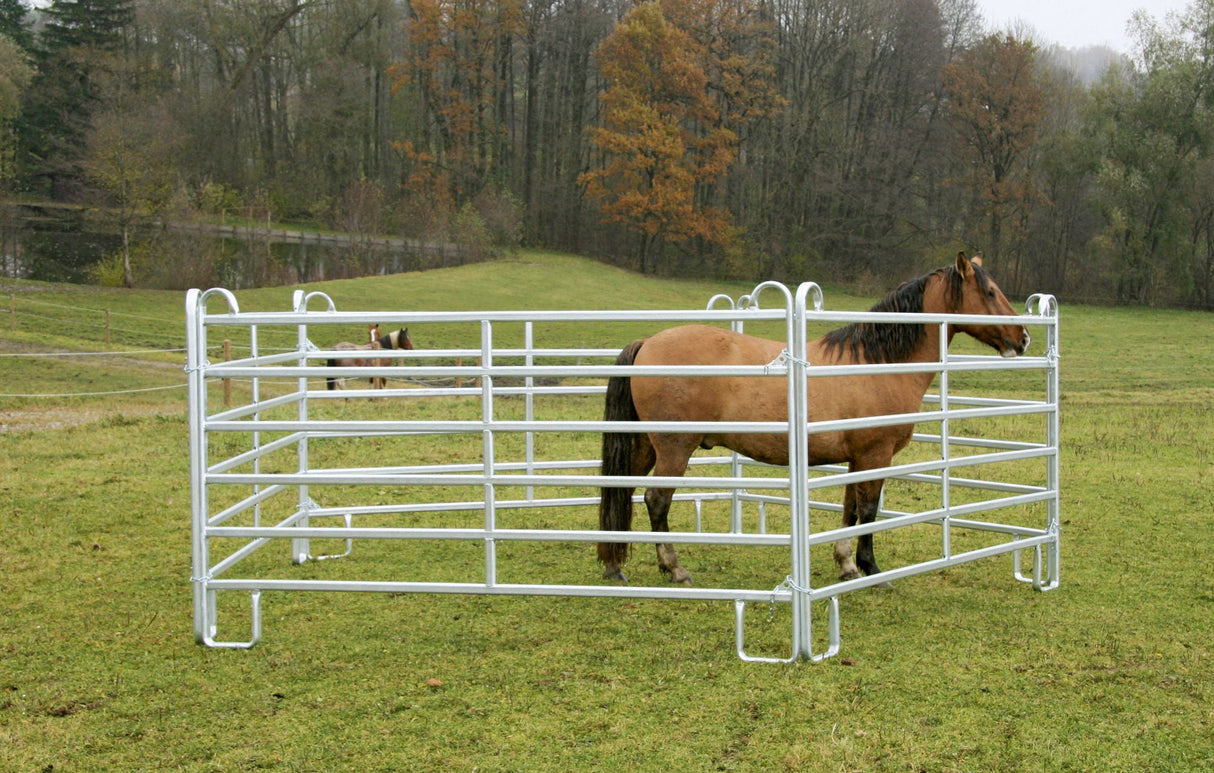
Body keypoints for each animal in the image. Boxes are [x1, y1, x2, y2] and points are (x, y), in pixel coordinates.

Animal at [594, 253, 1024, 584]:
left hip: (645, 446)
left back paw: (615, 566)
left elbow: (851, 510)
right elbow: (870, 510)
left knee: (623, 491)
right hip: (674, 449)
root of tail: (648, 343)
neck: (877, 362)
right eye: (989, 291)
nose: (1022, 338)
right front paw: (870, 568)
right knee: (656, 501)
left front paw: (847, 565)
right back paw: (675, 569)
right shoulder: (876, 455)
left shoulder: (857, 458)